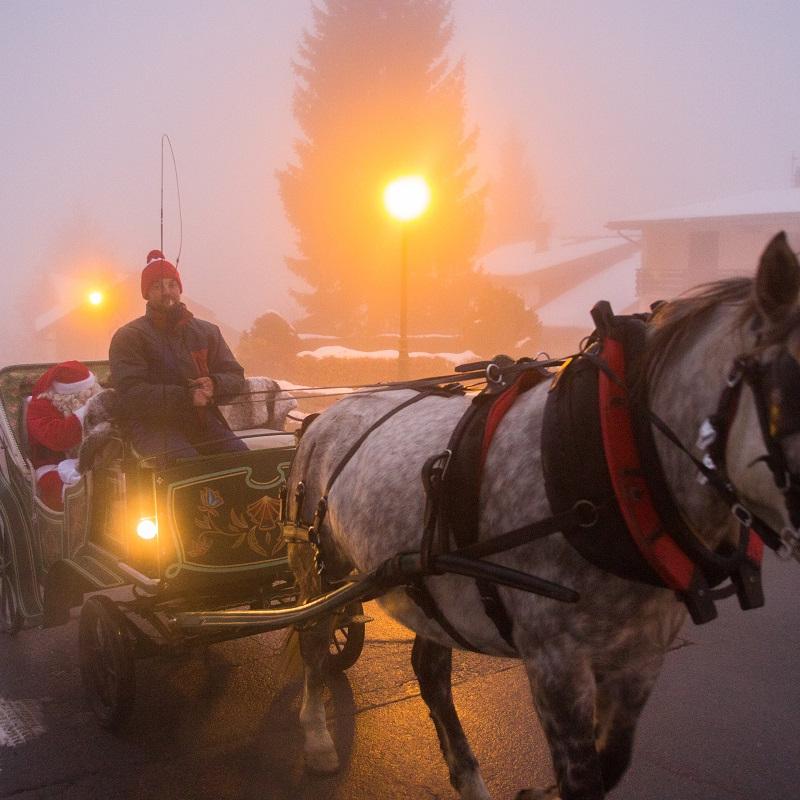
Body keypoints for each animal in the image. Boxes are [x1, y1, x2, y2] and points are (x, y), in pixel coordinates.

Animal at [282, 233, 800, 800]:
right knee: (312, 639)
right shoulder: (556, 663)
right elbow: (583, 777)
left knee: (431, 671)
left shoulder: (641, 655)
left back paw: (468, 776)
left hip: (425, 583)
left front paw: (536, 791)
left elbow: (612, 761)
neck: (618, 457)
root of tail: (321, 418)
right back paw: (315, 737)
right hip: (321, 565)